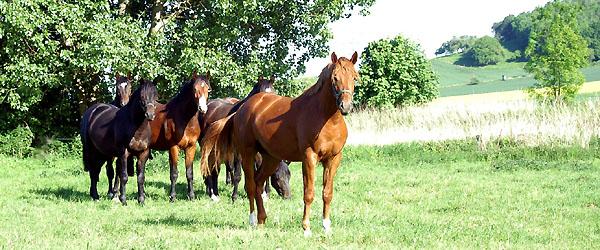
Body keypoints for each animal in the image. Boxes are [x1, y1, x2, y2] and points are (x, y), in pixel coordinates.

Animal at [144, 71, 211, 202]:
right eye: (195, 89)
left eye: (208, 89)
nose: (202, 108)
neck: (185, 119)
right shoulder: (174, 148)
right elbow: (174, 173)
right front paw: (172, 197)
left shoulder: (191, 148)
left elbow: (189, 173)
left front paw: (191, 196)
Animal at [199, 51, 358, 235]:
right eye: (335, 78)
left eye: (354, 77)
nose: (345, 106)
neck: (327, 119)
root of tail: (241, 109)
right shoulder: (309, 158)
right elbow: (309, 193)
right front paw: (306, 228)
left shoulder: (333, 159)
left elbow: (327, 192)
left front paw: (326, 226)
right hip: (247, 154)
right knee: (250, 185)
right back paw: (252, 219)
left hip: (270, 158)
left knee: (259, 182)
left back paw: (262, 219)